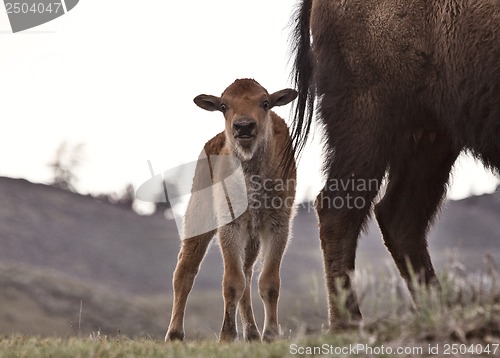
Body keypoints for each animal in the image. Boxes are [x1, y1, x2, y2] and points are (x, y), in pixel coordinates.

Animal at [292, 0, 498, 330]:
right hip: (367, 124)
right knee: (339, 208)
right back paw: (349, 323)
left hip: (430, 139)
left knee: (399, 217)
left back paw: (435, 307)